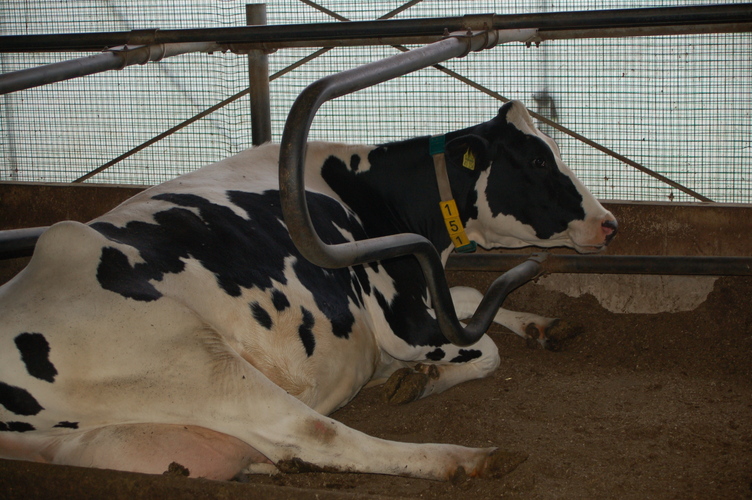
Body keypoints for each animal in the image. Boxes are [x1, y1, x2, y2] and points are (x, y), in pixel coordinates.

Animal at [0, 101, 616, 482]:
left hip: (87, 435)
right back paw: (468, 460)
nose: (610, 223)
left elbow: (469, 298)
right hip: (193, 360)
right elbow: (483, 348)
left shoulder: (423, 297)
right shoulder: (401, 316)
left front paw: (543, 324)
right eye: (537, 158)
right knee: (316, 434)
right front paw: (420, 378)